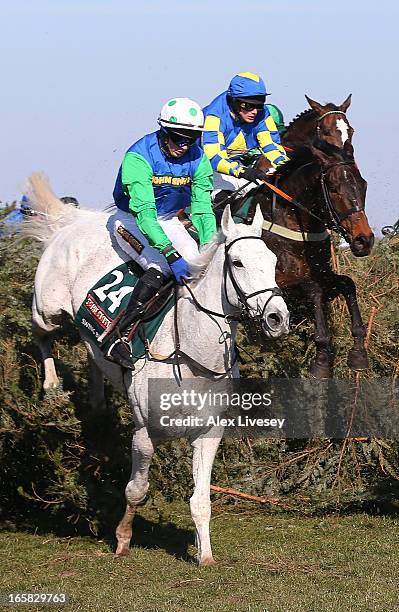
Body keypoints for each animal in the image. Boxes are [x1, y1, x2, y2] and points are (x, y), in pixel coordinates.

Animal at [233, 95, 376, 378]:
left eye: (363, 185)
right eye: (333, 188)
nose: (363, 240)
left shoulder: (322, 271)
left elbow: (347, 284)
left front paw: (358, 352)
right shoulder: (280, 281)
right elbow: (314, 291)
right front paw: (321, 360)